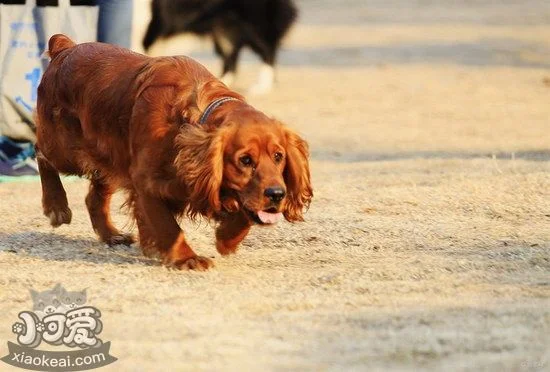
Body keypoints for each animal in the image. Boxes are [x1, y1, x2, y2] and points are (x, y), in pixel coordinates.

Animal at [35, 34, 314, 270]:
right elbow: (168, 226)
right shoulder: (145, 182)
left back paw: (111, 234)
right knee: (41, 154)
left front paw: (226, 238)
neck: (186, 120)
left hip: (108, 157)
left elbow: (244, 215)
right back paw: (57, 206)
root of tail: (65, 48)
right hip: (66, 150)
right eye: (245, 160)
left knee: (94, 197)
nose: (277, 194)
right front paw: (186, 258)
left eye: (278, 157)